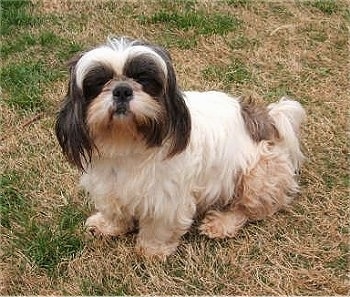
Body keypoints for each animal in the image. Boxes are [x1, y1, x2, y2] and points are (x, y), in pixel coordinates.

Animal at [55, 35, 306, 256]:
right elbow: (114, 210)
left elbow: (160, 227)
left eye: (144, 80)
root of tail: (267, 119)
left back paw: (222, 223)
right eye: (98, 83)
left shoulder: (166, 198)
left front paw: (152, 250)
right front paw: (109, 226)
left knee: (251, 208)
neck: (127, 142)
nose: (122, 90)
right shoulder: (108, 184)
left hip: (258, 176)